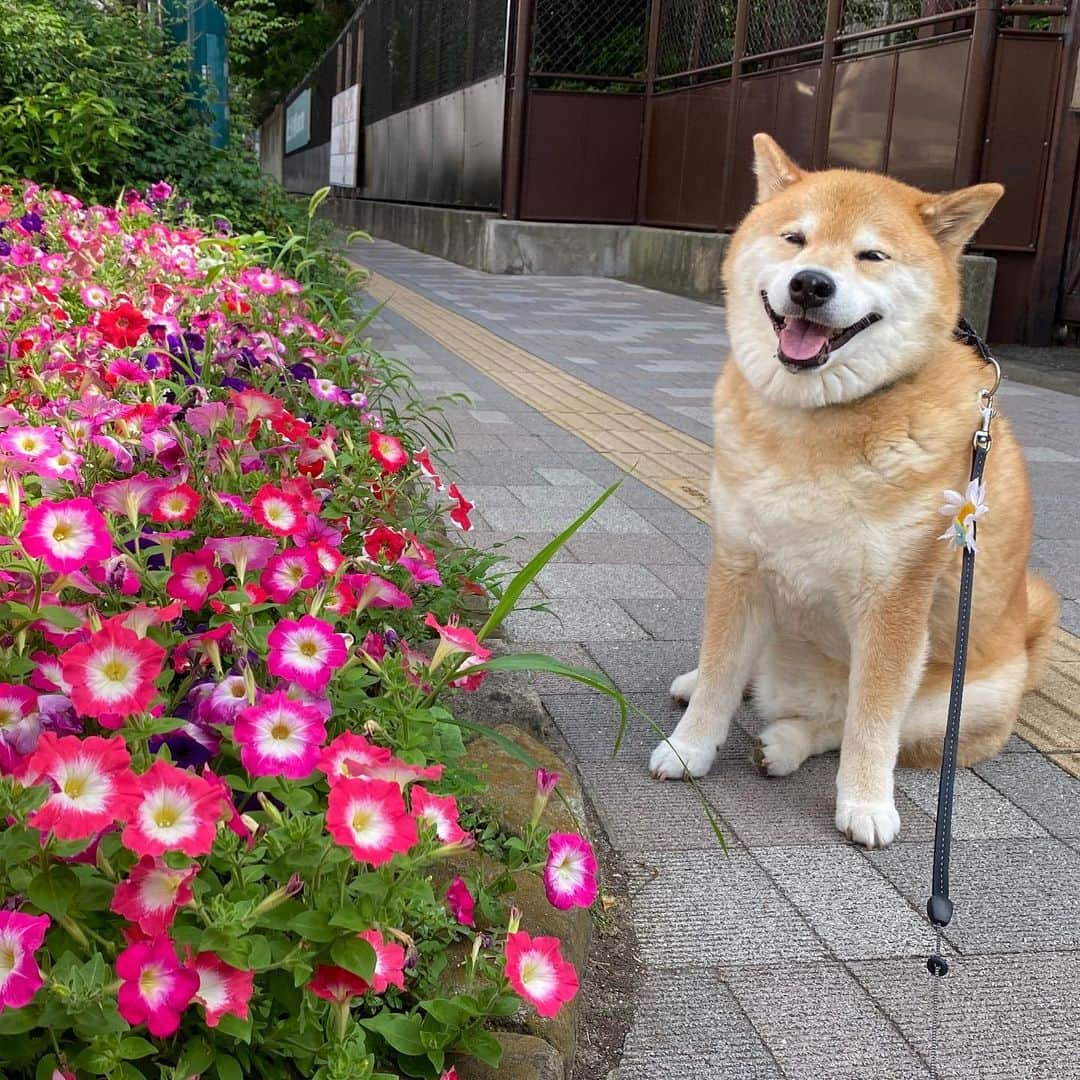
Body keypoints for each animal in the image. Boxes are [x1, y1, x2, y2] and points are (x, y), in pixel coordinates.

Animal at [648, 135, 1054, 846]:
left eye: (872, 255)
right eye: (795, 238)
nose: (811, 282)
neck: (815, 426)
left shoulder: (895, 602)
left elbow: (871, 723)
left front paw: (865, 803)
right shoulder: (739, 562)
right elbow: (722, 669)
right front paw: (688, 746)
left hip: (963, 699)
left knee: (844, 724)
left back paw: (784, 744)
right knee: (744, 675)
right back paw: (708, 687)